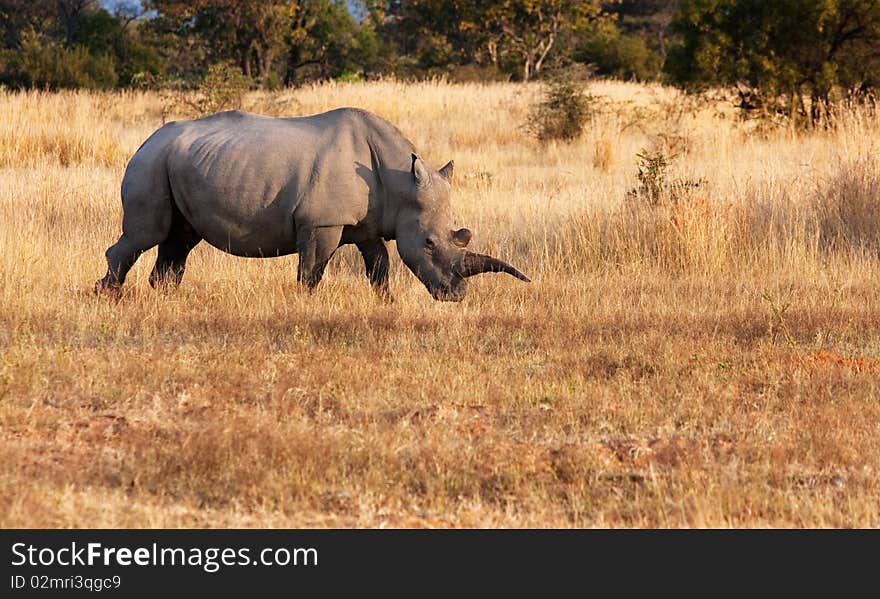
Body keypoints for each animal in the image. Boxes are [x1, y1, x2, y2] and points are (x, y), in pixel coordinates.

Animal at [94, 107, 528, 300]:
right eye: (429, 244)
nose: (456, 296)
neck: (400, 181)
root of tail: (146, 139)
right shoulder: (322, 223)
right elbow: (311, 271)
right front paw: (305, 305)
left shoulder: (367, 225)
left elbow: (380, 266)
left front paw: (385, 303)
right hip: (151, 162)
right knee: (147, 234)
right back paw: (108, 295)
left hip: (180, 161)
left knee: (179, 239)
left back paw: (164, 297)